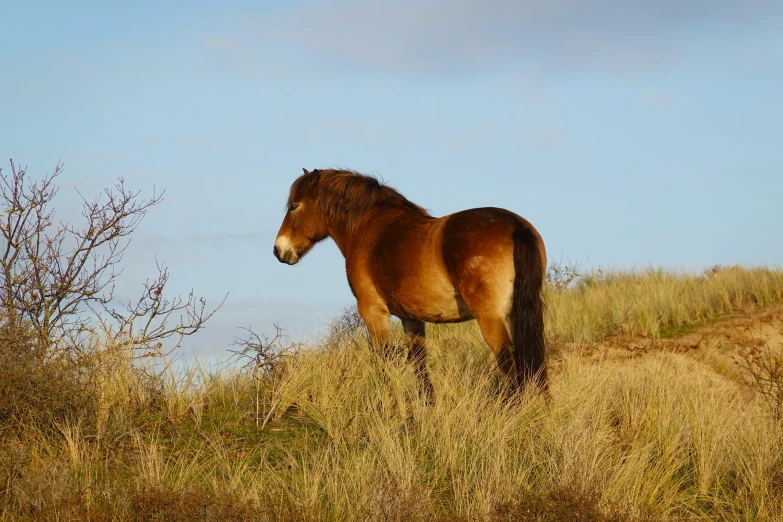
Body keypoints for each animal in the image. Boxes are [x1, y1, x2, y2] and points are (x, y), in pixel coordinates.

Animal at [272, 169, 548, 396]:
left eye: (294, 206)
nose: (279, 250)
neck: (368, 226)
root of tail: (515, 226)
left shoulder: (373, 311)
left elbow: (382, 361)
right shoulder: (411, 318)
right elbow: (419, 366)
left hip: (490, 318)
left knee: (507, 362)